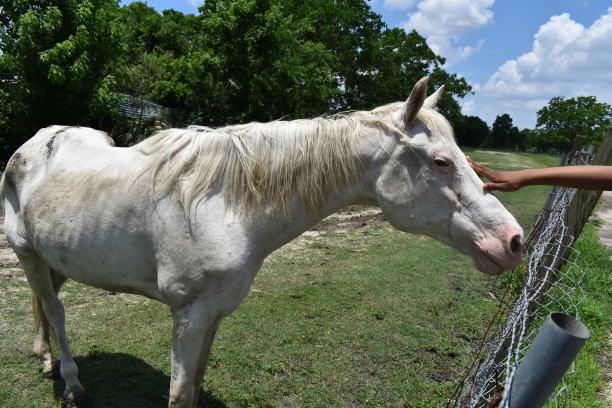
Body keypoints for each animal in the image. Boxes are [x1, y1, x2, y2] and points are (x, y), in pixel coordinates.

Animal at [2, 77, 524, 408]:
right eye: (440, 161)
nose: (513, 241)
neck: (227, 205)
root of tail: (28, 146)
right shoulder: (188, 315)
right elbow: (180, 393)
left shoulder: (212, 313)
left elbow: (196, 383)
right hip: (27, 255)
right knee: (55, 312)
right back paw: (71, 384)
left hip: (56, 258)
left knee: (43, 306)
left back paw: (46, 361)